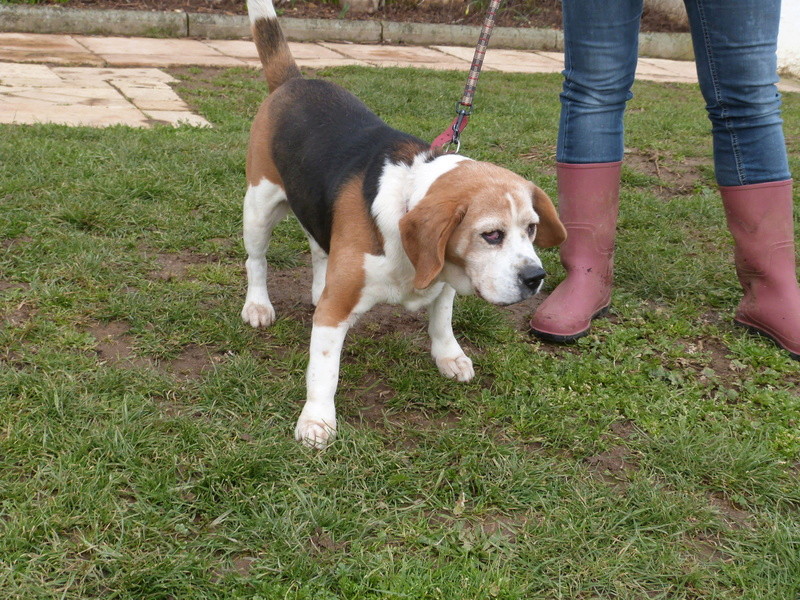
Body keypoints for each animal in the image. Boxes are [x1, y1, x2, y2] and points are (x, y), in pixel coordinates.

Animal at [241, 0, 564, 450]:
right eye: (491, 235)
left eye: (532, 228)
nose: (536, 278)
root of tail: (295, 82)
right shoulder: (335, 312)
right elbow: (324, 370)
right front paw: (317, 420)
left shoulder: (444, 278)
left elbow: (441, 321)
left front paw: (449, 356)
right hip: (258, 206)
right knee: (256, 261)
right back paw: (257, 305)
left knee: (319, 248)